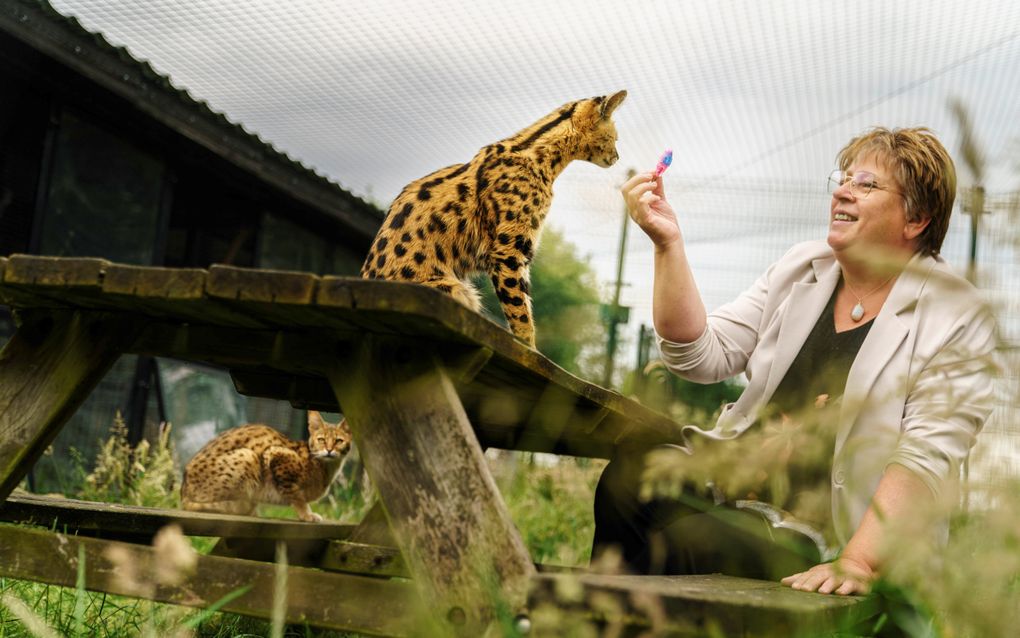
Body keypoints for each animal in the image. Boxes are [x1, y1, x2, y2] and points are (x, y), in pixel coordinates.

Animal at [177, 410, 348, 520]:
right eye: (321, 440)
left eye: (339, 441)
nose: (329, 450)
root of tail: (183, 492)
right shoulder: (273, 454)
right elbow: (296, 496)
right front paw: (307, 515)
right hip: (249, 456)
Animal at [359, 89, 628, 345]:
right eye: (614, 138)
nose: (618, 157)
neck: (542, 161)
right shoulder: (508, 251)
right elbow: (520, 313)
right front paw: (529, 350)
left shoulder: (518, 253)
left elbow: (523, 305)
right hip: (455, 289)